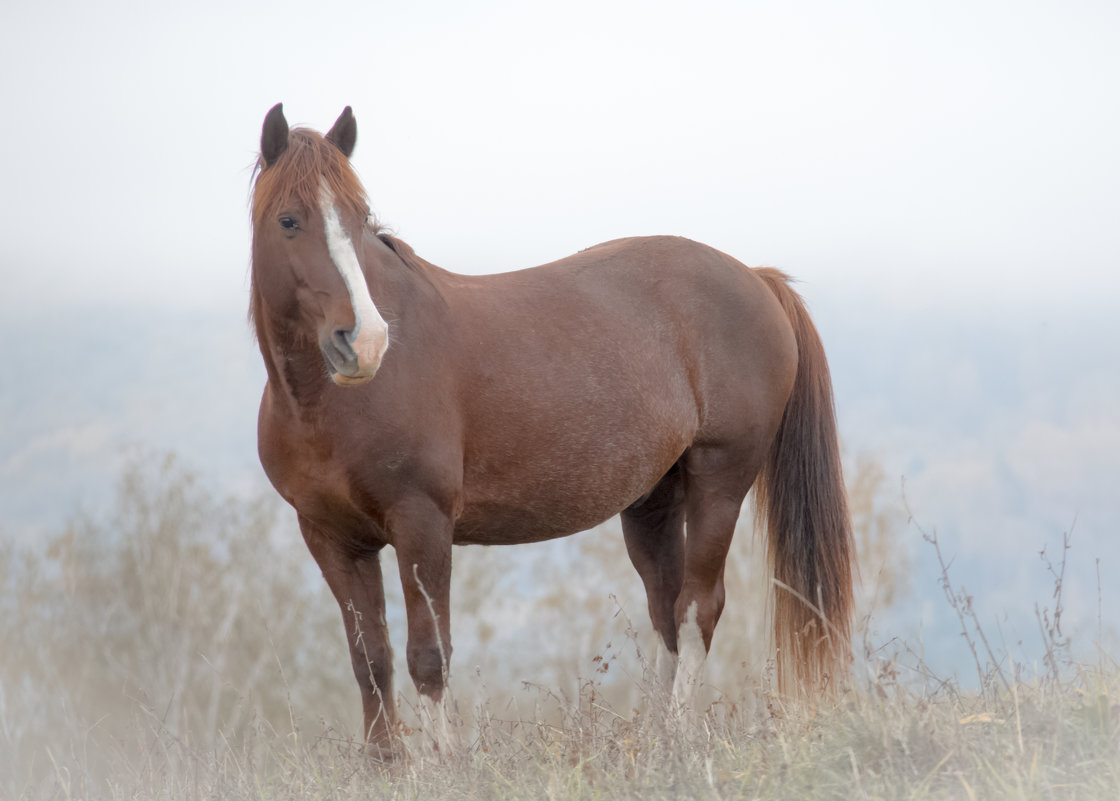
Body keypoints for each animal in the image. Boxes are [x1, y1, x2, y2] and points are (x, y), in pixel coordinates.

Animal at [249, 103, 851, 757]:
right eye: (289, 220)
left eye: (360, 219)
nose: (364, 342)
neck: (329, 407)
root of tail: (756, 277)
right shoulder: (332, 539)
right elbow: (370, 659)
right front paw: (386, 765)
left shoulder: (422, 524)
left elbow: (428, 656)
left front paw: (443, 763)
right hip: (653, 500)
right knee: (666, 609)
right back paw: (654, 742)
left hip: (720, 480)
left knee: (697, 610)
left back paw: (675, 737)